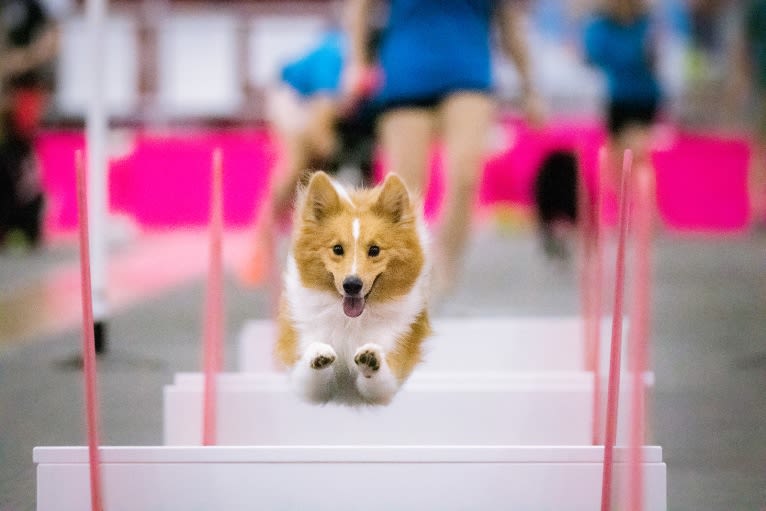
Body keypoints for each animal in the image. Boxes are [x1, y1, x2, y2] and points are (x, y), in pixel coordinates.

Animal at [276, 172, 432, 408]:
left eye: (375, 250)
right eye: (337, 249)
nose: (351, 285)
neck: (351, 322)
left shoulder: (392, 364)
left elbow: (377, 380)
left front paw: (371, 359)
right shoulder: (306, 380)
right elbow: (310, 374)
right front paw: (318, 355)